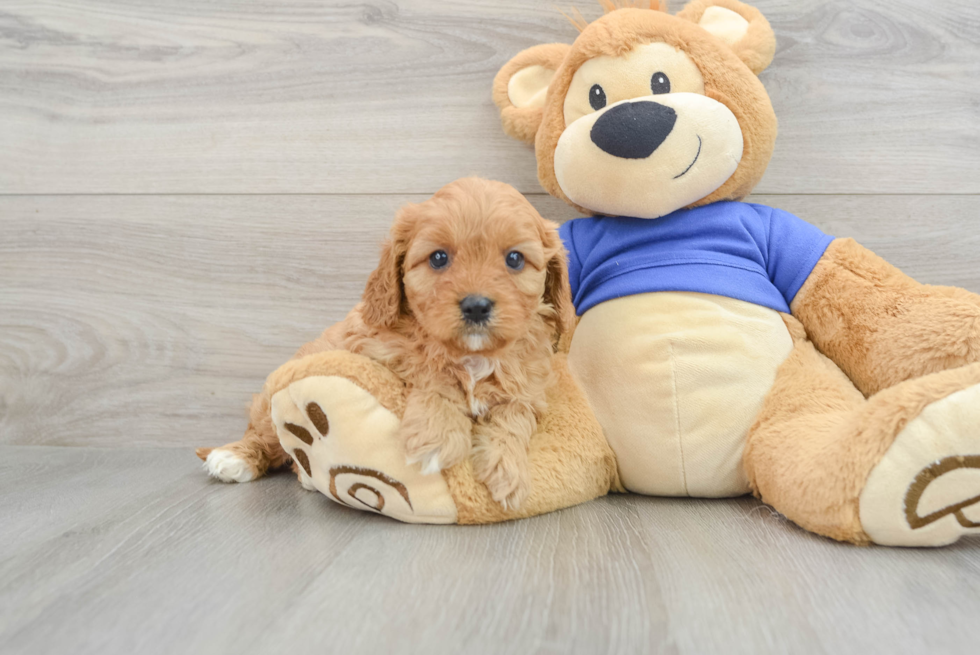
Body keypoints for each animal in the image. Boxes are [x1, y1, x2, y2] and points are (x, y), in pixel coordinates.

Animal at [200, 179, 580, 512]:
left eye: (514, 259)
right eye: (439, 258)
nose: (476, 306)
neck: (471, 354)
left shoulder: (529, 387)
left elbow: (514, 415)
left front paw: (508, 473)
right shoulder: (374, 349)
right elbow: (430, 370)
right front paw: (438, 436)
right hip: (271, 397)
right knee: (266, 433)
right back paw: (234, 457)